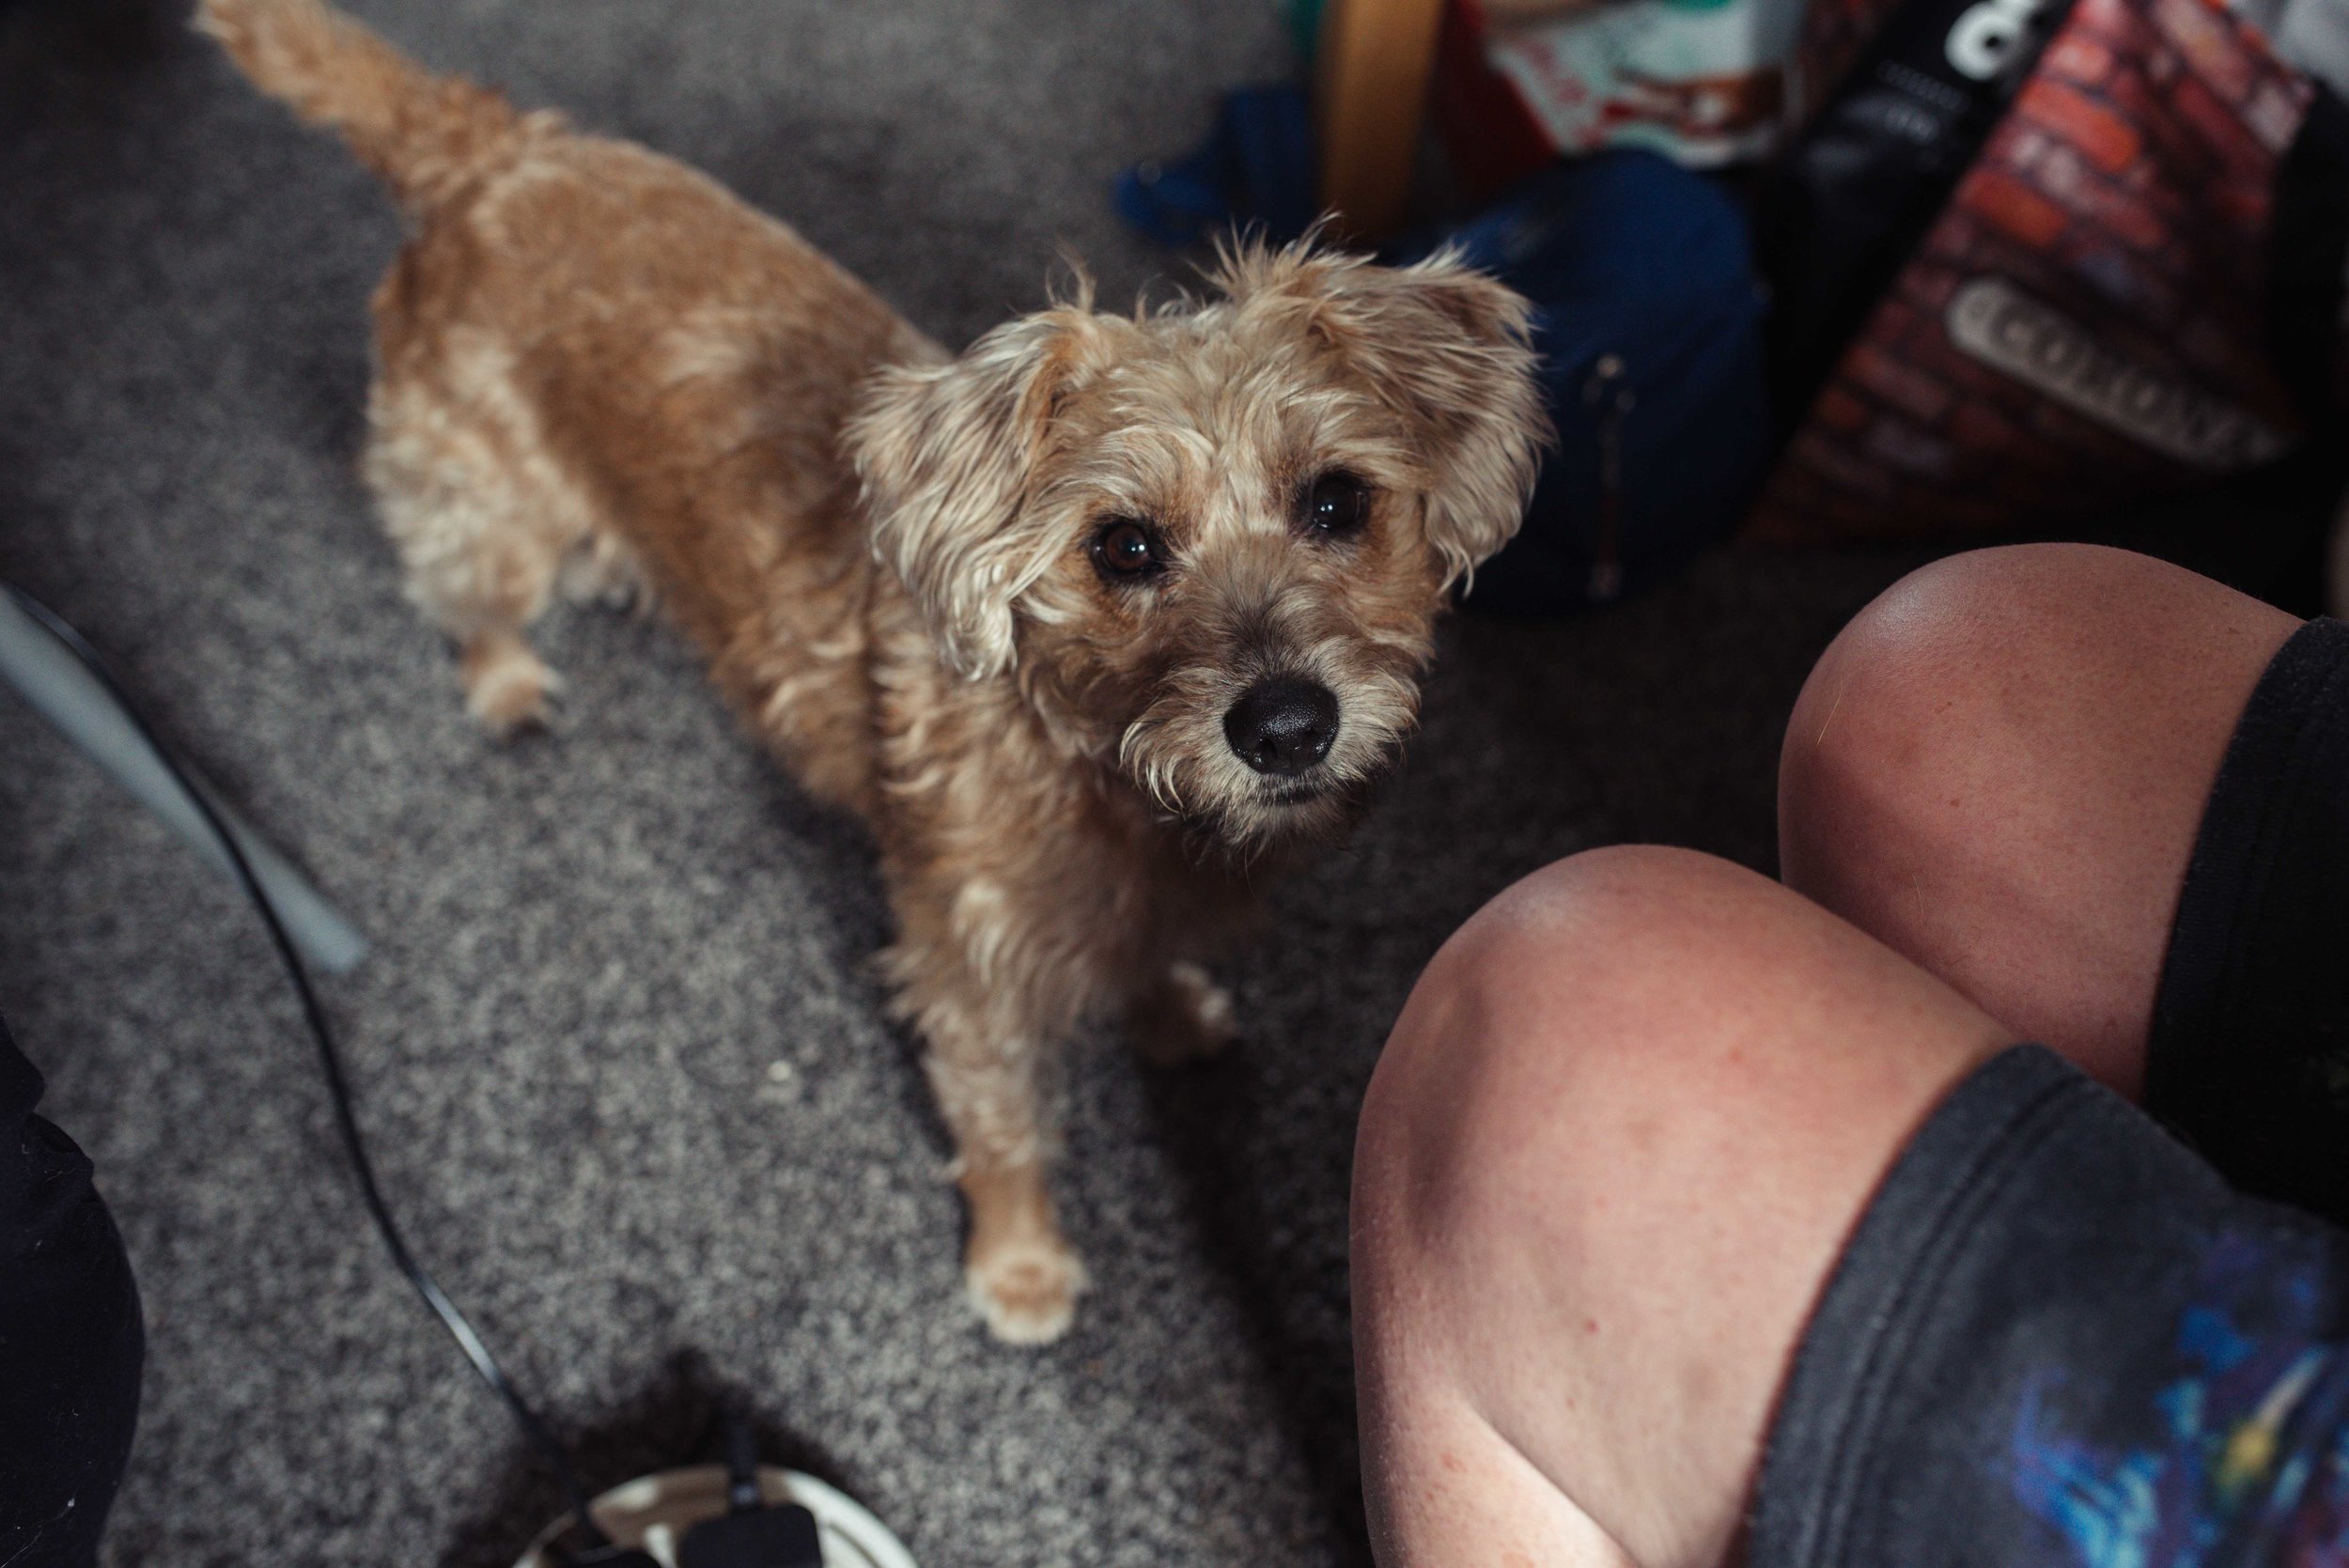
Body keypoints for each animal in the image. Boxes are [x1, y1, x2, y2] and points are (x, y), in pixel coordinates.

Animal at [207, 0, 1541, 1352]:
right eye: (1122, 546)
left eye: (1338, 501)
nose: (1285, 725)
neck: (1091, 763)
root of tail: (490, 149)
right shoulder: (967, 972)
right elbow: (1003, 1129)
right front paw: (1019, 1266)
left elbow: (1154, 969)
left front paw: (1172, 1020)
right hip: (480, 504)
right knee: (467, 592)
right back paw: (507, 682)